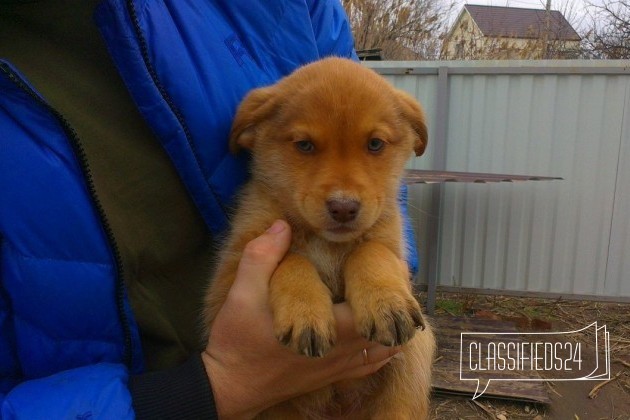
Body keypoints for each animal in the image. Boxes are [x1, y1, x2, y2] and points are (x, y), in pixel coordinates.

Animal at [205, 57, 436, 418]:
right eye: (305, 145)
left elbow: (371, 250)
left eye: (375, 144)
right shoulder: (225, 283)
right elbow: (291, 259)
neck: (326, 242)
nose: (343, 208)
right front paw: (306, 312)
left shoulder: (392, 245)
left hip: (413, 360)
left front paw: (385, 301)